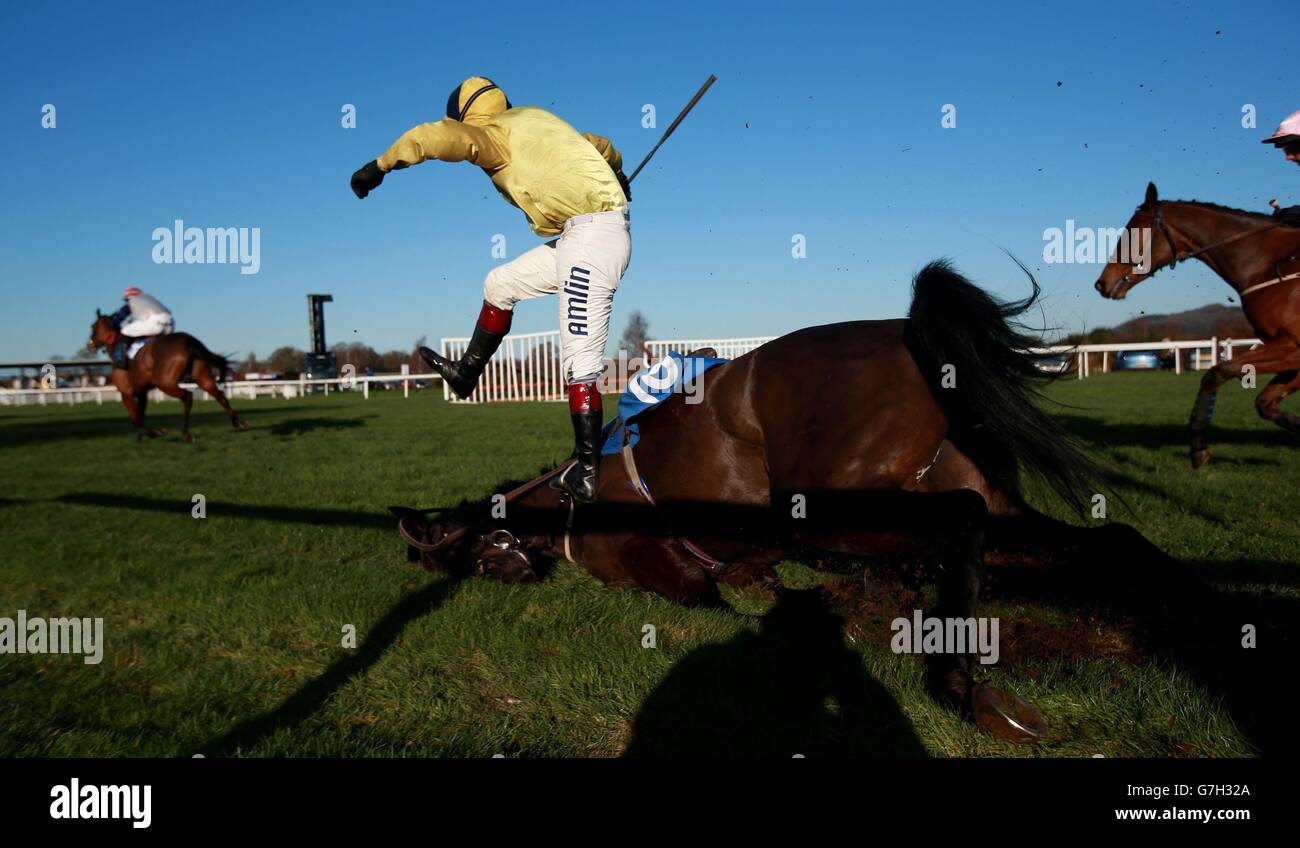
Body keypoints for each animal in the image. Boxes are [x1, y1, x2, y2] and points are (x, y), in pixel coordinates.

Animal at [88, 313, 248, 444]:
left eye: (93, 327)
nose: (90, 344)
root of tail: (187, 339)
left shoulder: (126, 393)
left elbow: (136, 419)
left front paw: (155, 432)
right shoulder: (142, 392)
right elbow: (140, 415)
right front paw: (140, 437)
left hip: (164, 383)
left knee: (188, 396)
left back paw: (186, 434)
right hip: (203, 377)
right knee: (219, 395)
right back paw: (239, 423)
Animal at [1097, 180, 1300, 468]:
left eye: (1131, 233)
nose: (1101, 283)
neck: (1266, 263)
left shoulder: (1293, 346)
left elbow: (1215, 372)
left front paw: (1197, 446)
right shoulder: (1290, 353)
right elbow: (1264, 403)